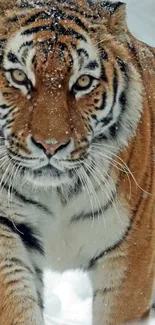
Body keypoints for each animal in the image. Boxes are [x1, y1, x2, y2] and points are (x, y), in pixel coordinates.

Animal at [0, 0, 155, 322]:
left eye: (83, 82)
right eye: (19, 76)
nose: (50, 145)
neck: (58, 193)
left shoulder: (131, 253)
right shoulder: (6, 228)